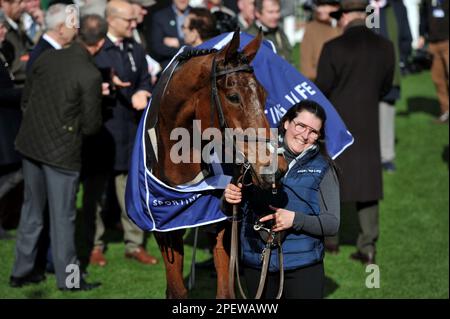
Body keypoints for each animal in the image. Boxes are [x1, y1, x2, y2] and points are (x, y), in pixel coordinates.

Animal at [148, 30, 288, 300]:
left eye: (264, 94)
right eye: (233, 97)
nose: (276, 166)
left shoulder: (221, 225)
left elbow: (226, 290)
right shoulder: (165, 227)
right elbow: (176, 289)